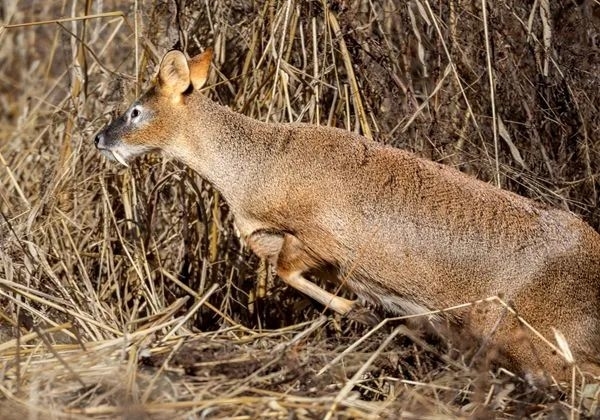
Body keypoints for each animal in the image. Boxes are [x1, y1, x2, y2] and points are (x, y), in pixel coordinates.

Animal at [96, 48, 600, 380]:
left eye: (135, 111)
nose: (99, 138)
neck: (253, 173)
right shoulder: (281, 239)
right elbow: (280, 263)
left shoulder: (326, 236)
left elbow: (288, 270)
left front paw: (357, 312)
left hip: (531, 339)